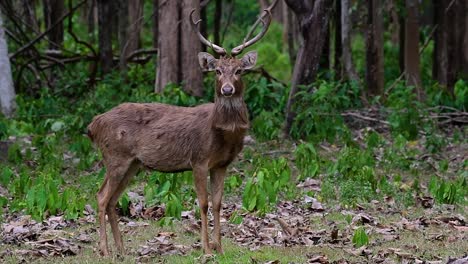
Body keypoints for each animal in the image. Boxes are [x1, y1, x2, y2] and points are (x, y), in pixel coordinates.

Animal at [86, 1, 276, 256]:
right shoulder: (199, 159)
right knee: (101, 196)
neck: (222, 134)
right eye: (217, 71)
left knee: (112, 199)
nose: (227, 89)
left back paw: (122, 249)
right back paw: (106, 250)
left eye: (239, 70)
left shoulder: (222, 164)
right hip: (115, 156)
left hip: (132, 163)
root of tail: (93, 125)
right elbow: (203, 204)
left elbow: (218, 204)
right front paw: (206, 249)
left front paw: (219, 247)